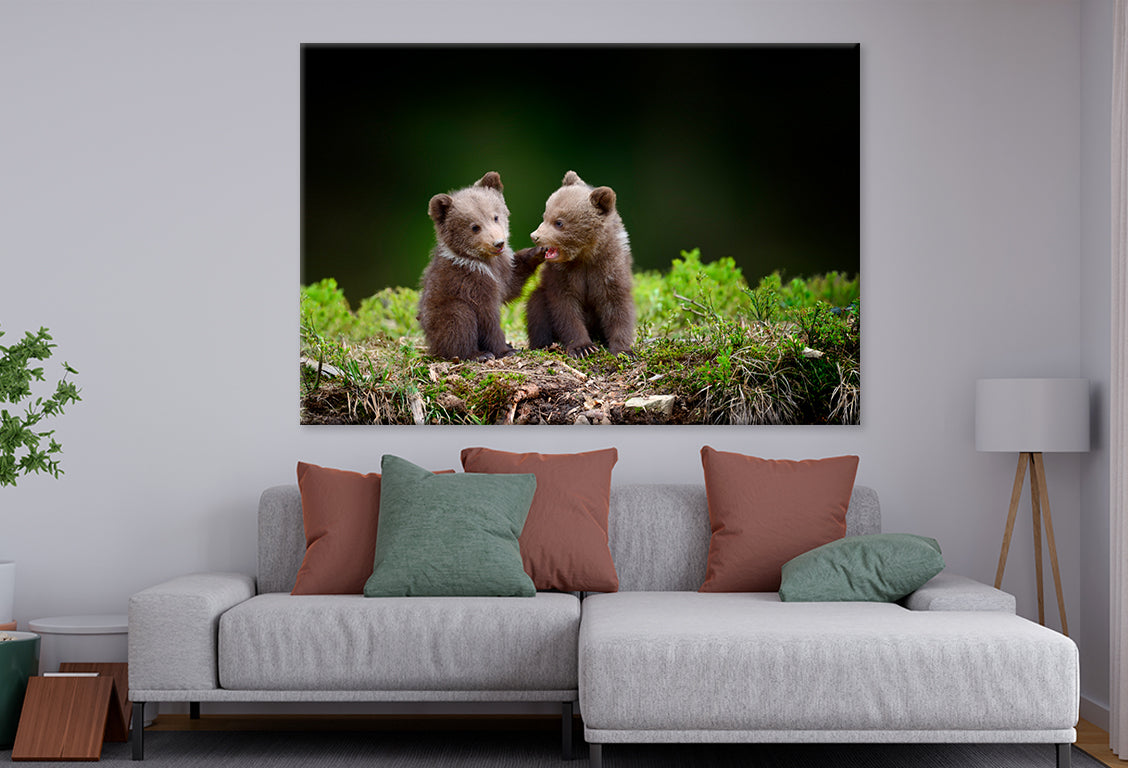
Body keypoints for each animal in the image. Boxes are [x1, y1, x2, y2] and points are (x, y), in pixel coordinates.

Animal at [417, 171, 545, 361]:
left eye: (495, 216)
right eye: (475, 227)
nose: (498, 243)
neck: (485, 262)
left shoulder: (502, 270)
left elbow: (512, 284)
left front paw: (538, 251)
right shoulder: (472, 282)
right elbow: (487, 318)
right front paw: (505, 350)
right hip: (442, 313)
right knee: (459, 320)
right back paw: (477, 354)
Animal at [526, 170, 636, 357]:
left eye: (559, 222)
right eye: (545, 215)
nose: (535, 236)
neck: (585, 256)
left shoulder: (610, 267)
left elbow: (617, 306)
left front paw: (623, 350)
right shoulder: (562, 274)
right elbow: (566, 309)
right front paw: (582, 347)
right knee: (536, 307)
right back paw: (543, 344)